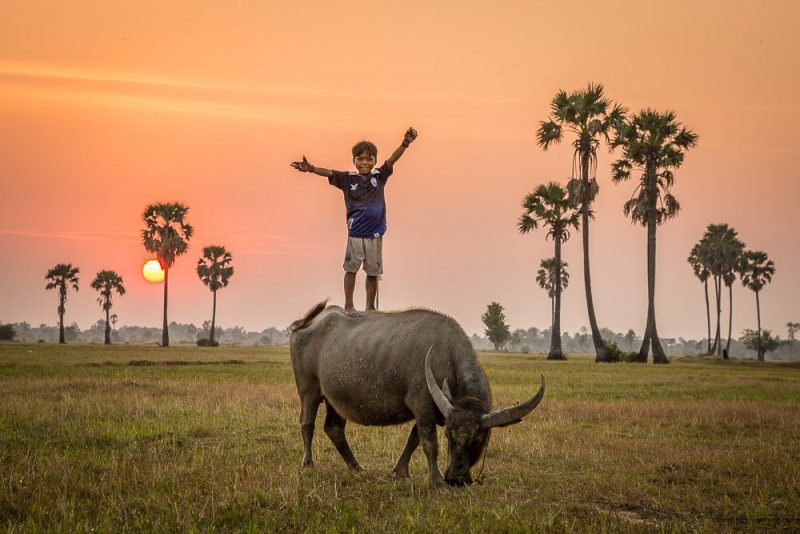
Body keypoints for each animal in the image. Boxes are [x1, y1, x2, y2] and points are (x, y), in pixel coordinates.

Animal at [289, 301, 545, 486]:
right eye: (450, 437)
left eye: (478, 440)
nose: (455, 479)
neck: (447, 354)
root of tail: (307, 322)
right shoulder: (422, 405)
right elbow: (429, 442)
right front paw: (436, 480)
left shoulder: (431, 410)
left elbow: (414, 439)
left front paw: (400, 471)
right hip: (309, 389)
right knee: (307, 423)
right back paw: (308, 463)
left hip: (335, 399)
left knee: (334, 428)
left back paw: (356, 467)